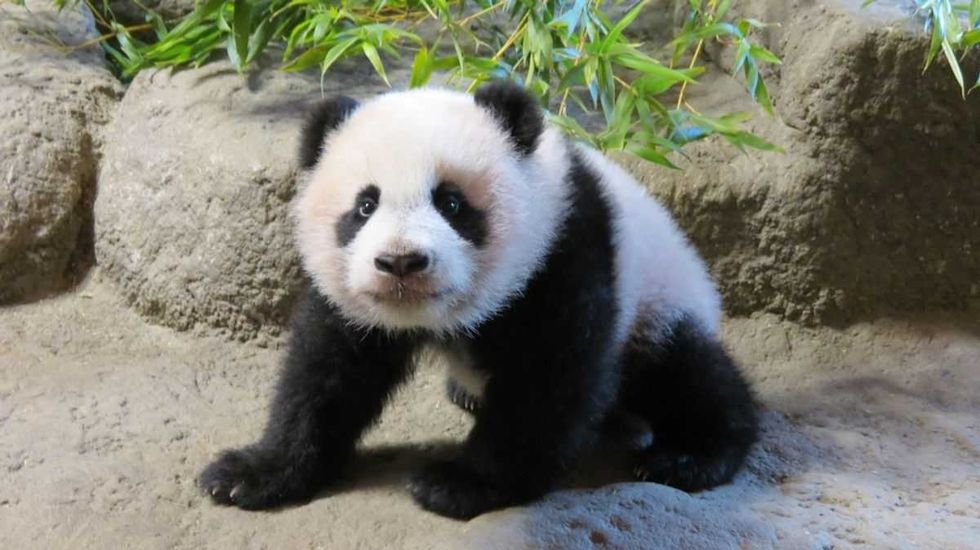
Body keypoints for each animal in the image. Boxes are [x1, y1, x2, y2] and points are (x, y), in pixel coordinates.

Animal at [199, 81, 757, 519]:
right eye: (364, 206)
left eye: (451, 202)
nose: (401, 262)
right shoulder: (354, 301)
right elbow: (326, 371)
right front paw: (251, 472)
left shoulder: (562, 249)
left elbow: (546, 378)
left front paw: (460, 484)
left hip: (660, 300)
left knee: (683, 370)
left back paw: (690, 453)